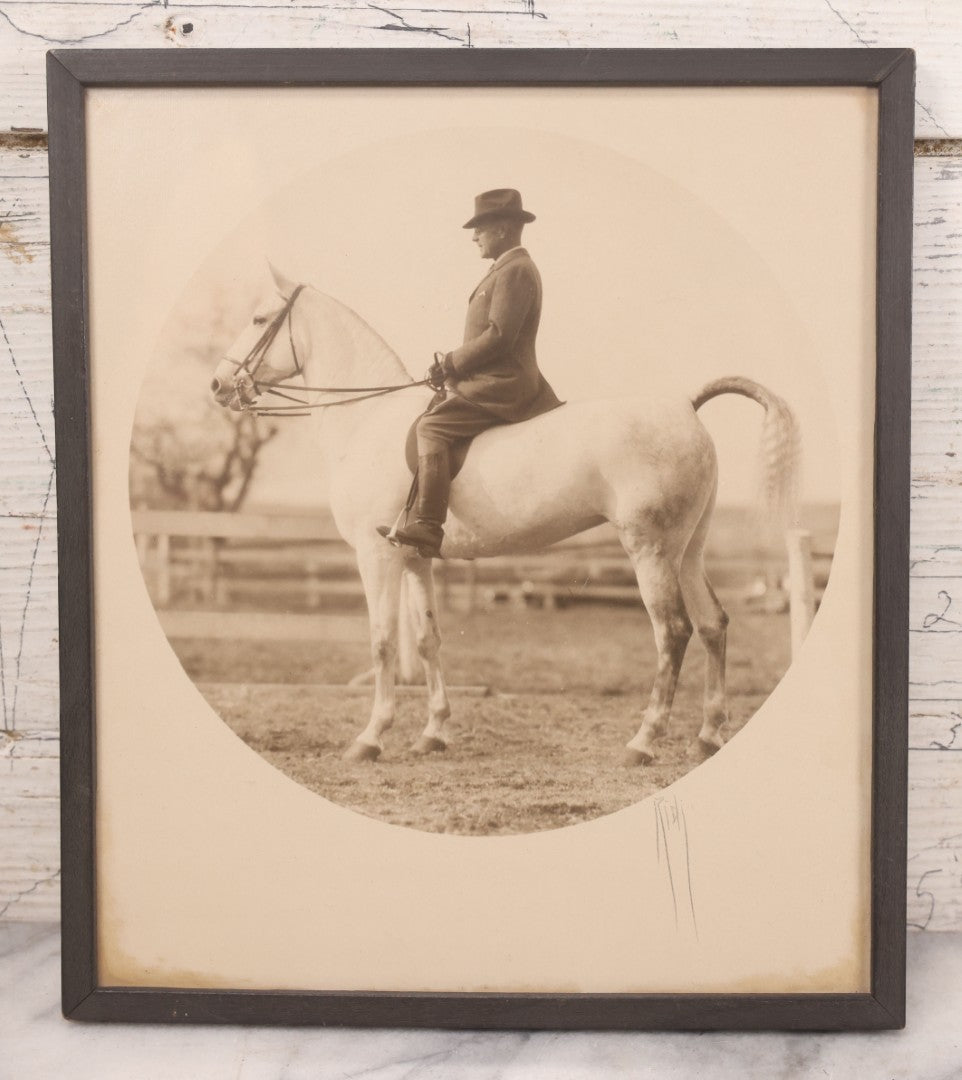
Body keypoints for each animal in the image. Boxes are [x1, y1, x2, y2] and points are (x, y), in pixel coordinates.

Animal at [210, 265, 800, 767]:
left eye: (259, 319)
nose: (217, 385)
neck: (367, 419)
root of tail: (685, 405)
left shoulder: (376, 556)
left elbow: (381, 641)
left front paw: (370, 738)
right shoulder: (413, 557)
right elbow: (426, 639)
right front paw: (434, 733)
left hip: (650, 550)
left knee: (673, 631)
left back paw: (643, 741)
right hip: (688, 551)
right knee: (713, 624)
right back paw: (707, 737)